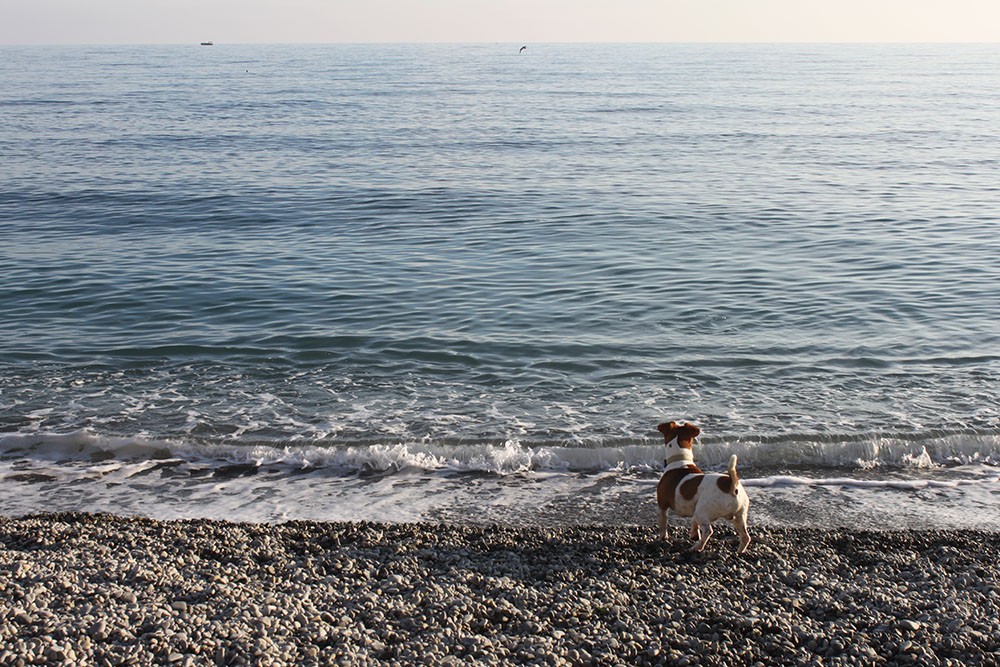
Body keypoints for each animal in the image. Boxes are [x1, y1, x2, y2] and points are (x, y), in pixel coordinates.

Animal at [656, 420, 752, 556]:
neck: (681, 460)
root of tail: (730, 484)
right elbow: (693, 522)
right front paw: (694, 534)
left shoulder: (662, 505)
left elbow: (663, 525)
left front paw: (662, 538)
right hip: (740, 515)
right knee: (745, 536)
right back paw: (739, 552)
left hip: (702, 511)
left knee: (708, 531)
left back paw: (697, 547)